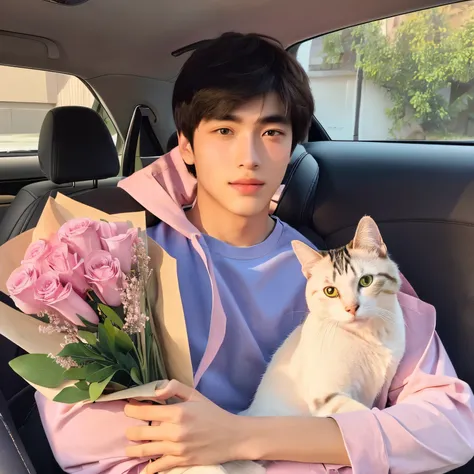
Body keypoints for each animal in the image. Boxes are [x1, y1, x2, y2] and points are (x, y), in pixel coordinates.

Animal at [165, 217, 406, 472]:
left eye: (366, 281)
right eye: (330, 291)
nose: (351, 308)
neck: (369, 336)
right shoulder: (326, 395)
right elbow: (364, 414)